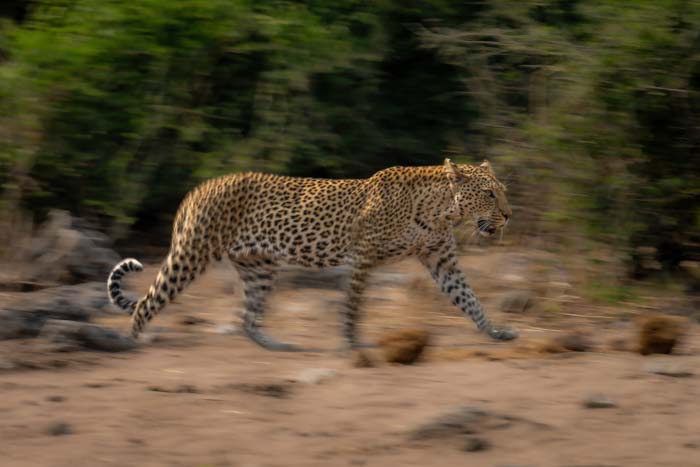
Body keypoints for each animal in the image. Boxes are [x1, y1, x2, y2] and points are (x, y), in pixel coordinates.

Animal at [106, 158, 516, 352]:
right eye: (490, 193)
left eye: (502, 191)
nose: (509, 215)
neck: (441, 210)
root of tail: (198, 188)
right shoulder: (362, 258)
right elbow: (352, 306)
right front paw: (352, 343)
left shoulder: (441, 261)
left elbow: (469, 299)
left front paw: (495, 332)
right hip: (193, 253)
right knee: (148, 301)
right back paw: (133, 342)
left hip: (258, 266)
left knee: (247, 317)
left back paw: (278, 345)